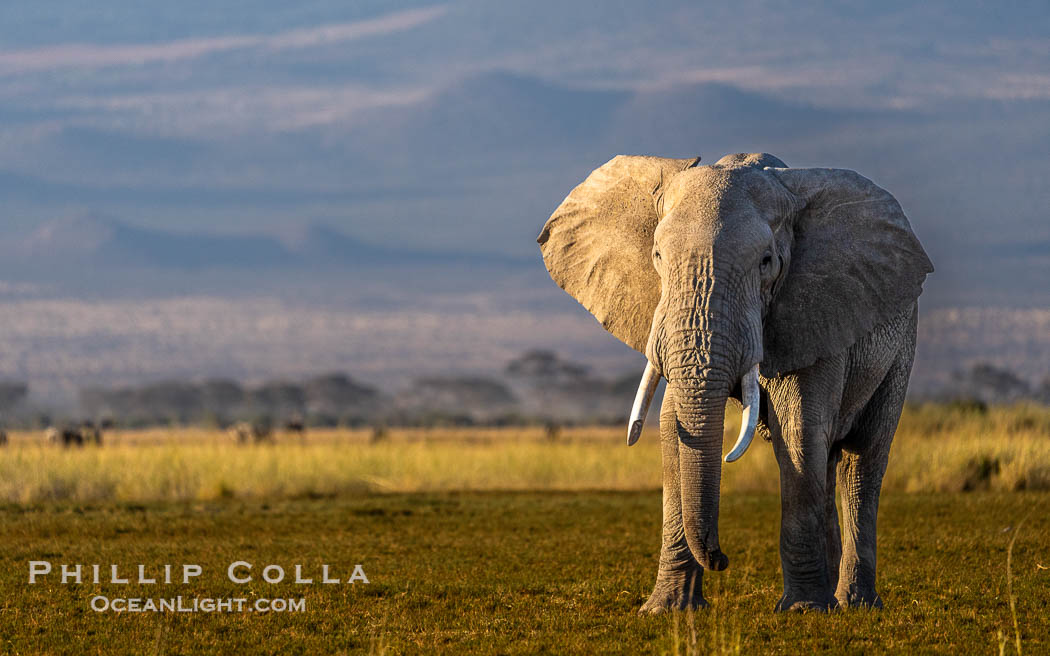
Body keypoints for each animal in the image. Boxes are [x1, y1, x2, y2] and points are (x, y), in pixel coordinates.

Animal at [537, 151, 932, 612]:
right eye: (657, 255)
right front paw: (668, 610)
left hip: (902, 346)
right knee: (831, 459)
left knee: (861, 460)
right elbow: (672, 426)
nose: (722, 559)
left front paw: (802, 611)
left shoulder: (814, 311)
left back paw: (854, 603)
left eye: (766, 262)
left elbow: (797, 431)